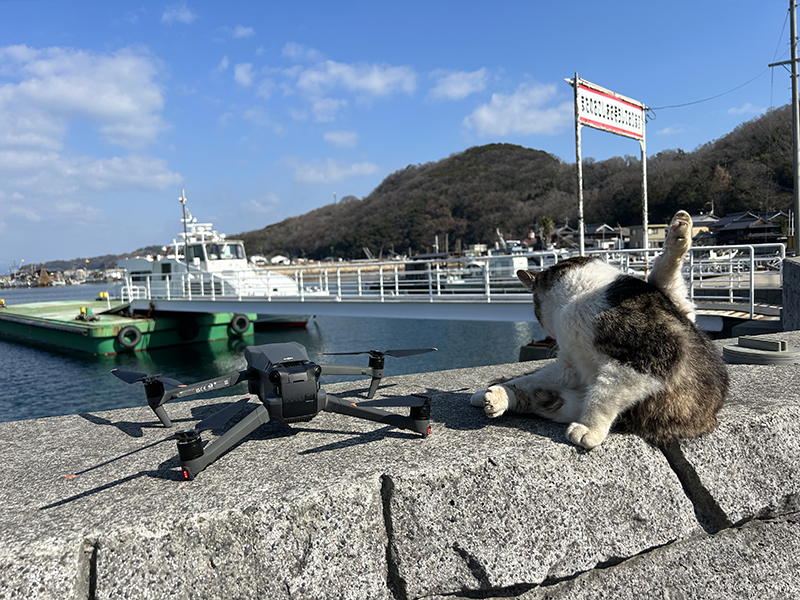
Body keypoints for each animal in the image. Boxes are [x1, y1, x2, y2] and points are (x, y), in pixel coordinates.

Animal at [470, 210, 728, 449]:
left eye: (536, 311)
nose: (541, 322)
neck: (578, 296)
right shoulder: (571, 364)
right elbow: (530, 378)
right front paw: (497, 391)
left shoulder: (652, 354)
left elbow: (606, 394)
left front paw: (589, 429)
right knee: (538, 393)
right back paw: (496, 397)